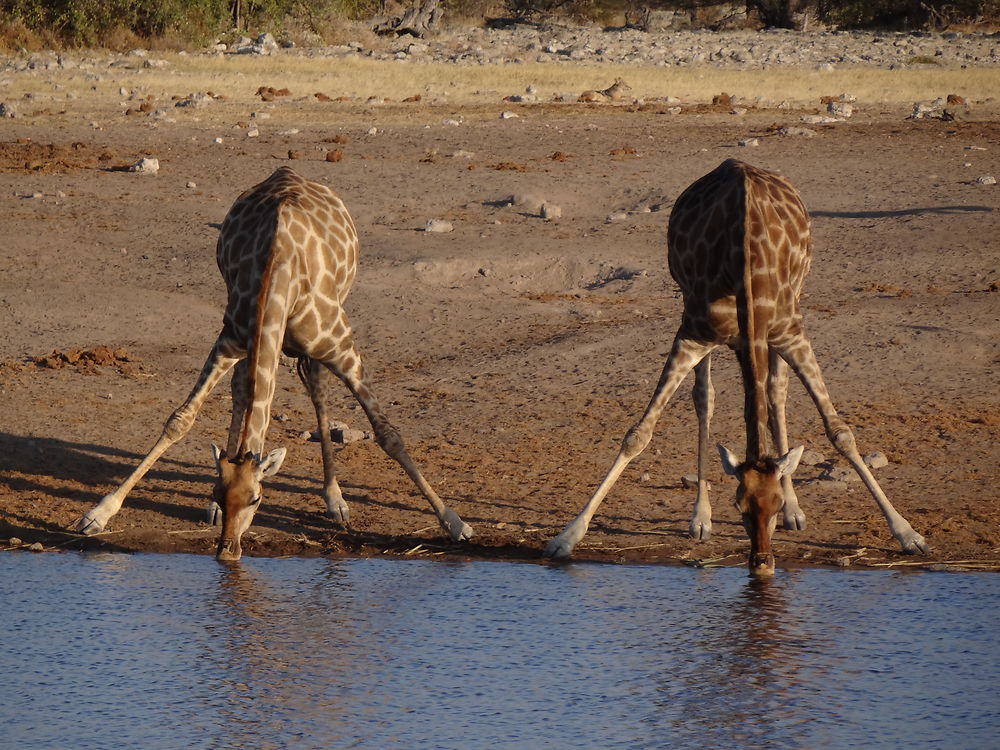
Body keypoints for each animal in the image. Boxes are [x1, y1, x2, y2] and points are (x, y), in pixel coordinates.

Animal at [74, 167, 472, 560]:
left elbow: (389, 434)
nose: (227, 551)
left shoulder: (344, 350)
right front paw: (98, 514)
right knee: (241, 390)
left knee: (317, 391)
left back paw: (336, 499)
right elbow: (180, 420)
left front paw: (455, 523)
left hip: (324, 340)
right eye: (221, 493)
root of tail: (288, 170)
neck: (279, 272)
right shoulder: (230, 340)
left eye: (257, 499)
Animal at [548, 160, 928, 576]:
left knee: (775, 391)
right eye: (739, 506)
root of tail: (735, 164)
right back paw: (700, 518)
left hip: (786, 312)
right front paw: (567, 536)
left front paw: (908, 534)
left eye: (775, 505)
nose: (761, 563)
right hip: (695, 312)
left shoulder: (792, 333)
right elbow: (639, 434)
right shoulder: (693, 335)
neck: (747, 263)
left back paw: (797, 511)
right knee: (705, 398)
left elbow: (839, 432)